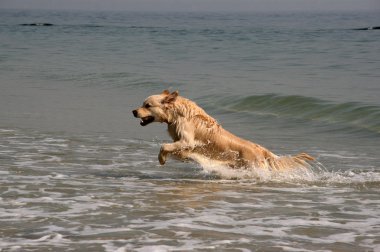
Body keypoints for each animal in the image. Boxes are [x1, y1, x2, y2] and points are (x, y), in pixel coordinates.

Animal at [132, 89, 314, 170]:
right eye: (142, 104)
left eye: (147, 105)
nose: (133, 111)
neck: (177, 113)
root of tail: (260, 149)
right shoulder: (181, 141)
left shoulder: (187, 140)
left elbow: (164, 146)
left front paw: (162, 159)